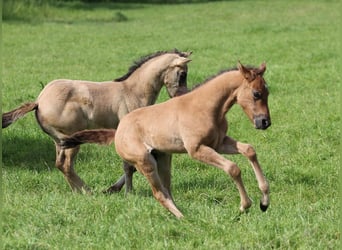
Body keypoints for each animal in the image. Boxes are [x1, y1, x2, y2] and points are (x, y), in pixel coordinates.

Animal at [1, 49, 191, 193]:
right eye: (182, 73)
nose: (181, 96)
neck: (132, 91)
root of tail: (39, 101)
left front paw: (114, 189)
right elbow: (129, 166)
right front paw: (128, 192)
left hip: (59, 141)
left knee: (60, 164)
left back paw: (78, 191)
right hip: (71, 139)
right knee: (66, 165)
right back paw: (87, 191)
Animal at [60, 61, 270, 218]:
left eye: (267, 92)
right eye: (256, 93)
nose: (265, 122)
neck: (205, 106)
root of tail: (118, 131)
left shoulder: (219, 143)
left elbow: (249, 150)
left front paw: (264, 201)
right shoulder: (197, 149)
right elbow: (233, 168)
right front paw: (244, 206)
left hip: (163, 159)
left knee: (167, 189)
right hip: (146, 162)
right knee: (159, 193)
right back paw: (184, 219)